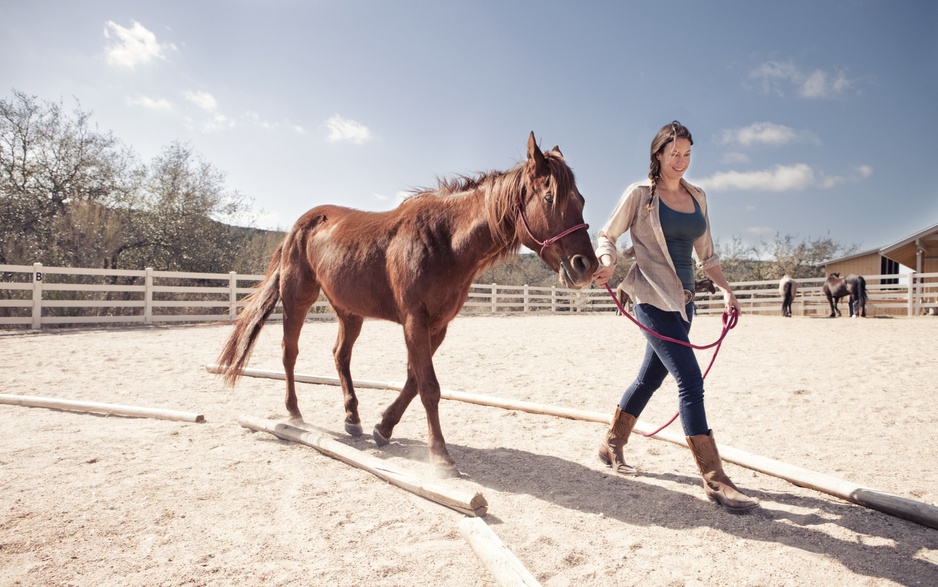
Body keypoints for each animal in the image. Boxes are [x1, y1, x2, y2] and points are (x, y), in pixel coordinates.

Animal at [217, 134, 596, 478]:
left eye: (581, 200)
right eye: (549, 197)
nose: (586, 266)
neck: (444, 240)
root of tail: (299, 225)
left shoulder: (437, 326)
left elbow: (415, 380)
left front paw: (383, 428)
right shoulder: (415, 321)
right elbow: (429, 387)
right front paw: (440, 456)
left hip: (350, 313)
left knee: (341, 356)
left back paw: (353, 418)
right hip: (298, 299)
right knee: (289, 353)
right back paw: (294, 413)